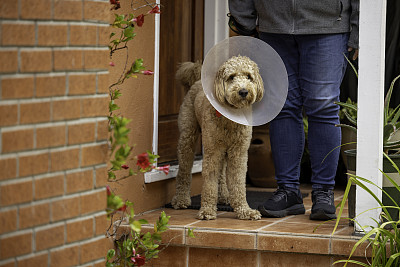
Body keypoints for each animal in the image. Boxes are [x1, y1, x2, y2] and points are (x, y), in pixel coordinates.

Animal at [171, 55, 262, 221]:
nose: (243, 91)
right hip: (188, 136)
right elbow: (209, 182)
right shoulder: (212, 151)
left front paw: (245, 210)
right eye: (231, 77)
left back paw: (224, 196)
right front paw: (207, 210)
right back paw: (181, 199)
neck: (230, 118)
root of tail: (197, 80)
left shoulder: (238, 152)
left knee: (221, 172)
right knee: (184, 168)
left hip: (222, 148)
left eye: (249, 76)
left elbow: (238, 182)